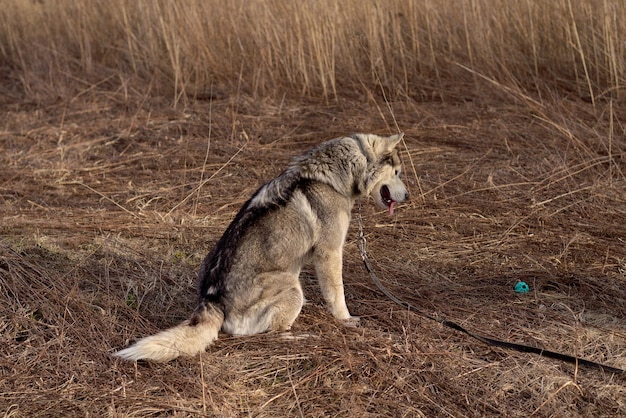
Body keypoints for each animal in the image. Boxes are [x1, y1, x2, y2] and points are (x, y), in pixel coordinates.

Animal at [114, 132, 408, 360]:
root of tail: (213, 300)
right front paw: (346, 320)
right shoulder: (329, 253)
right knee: (273, 334)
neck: (337, 175)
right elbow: (337, 295)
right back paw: (301, 336)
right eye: (397, 172)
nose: (408, 196)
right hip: (291, 285)